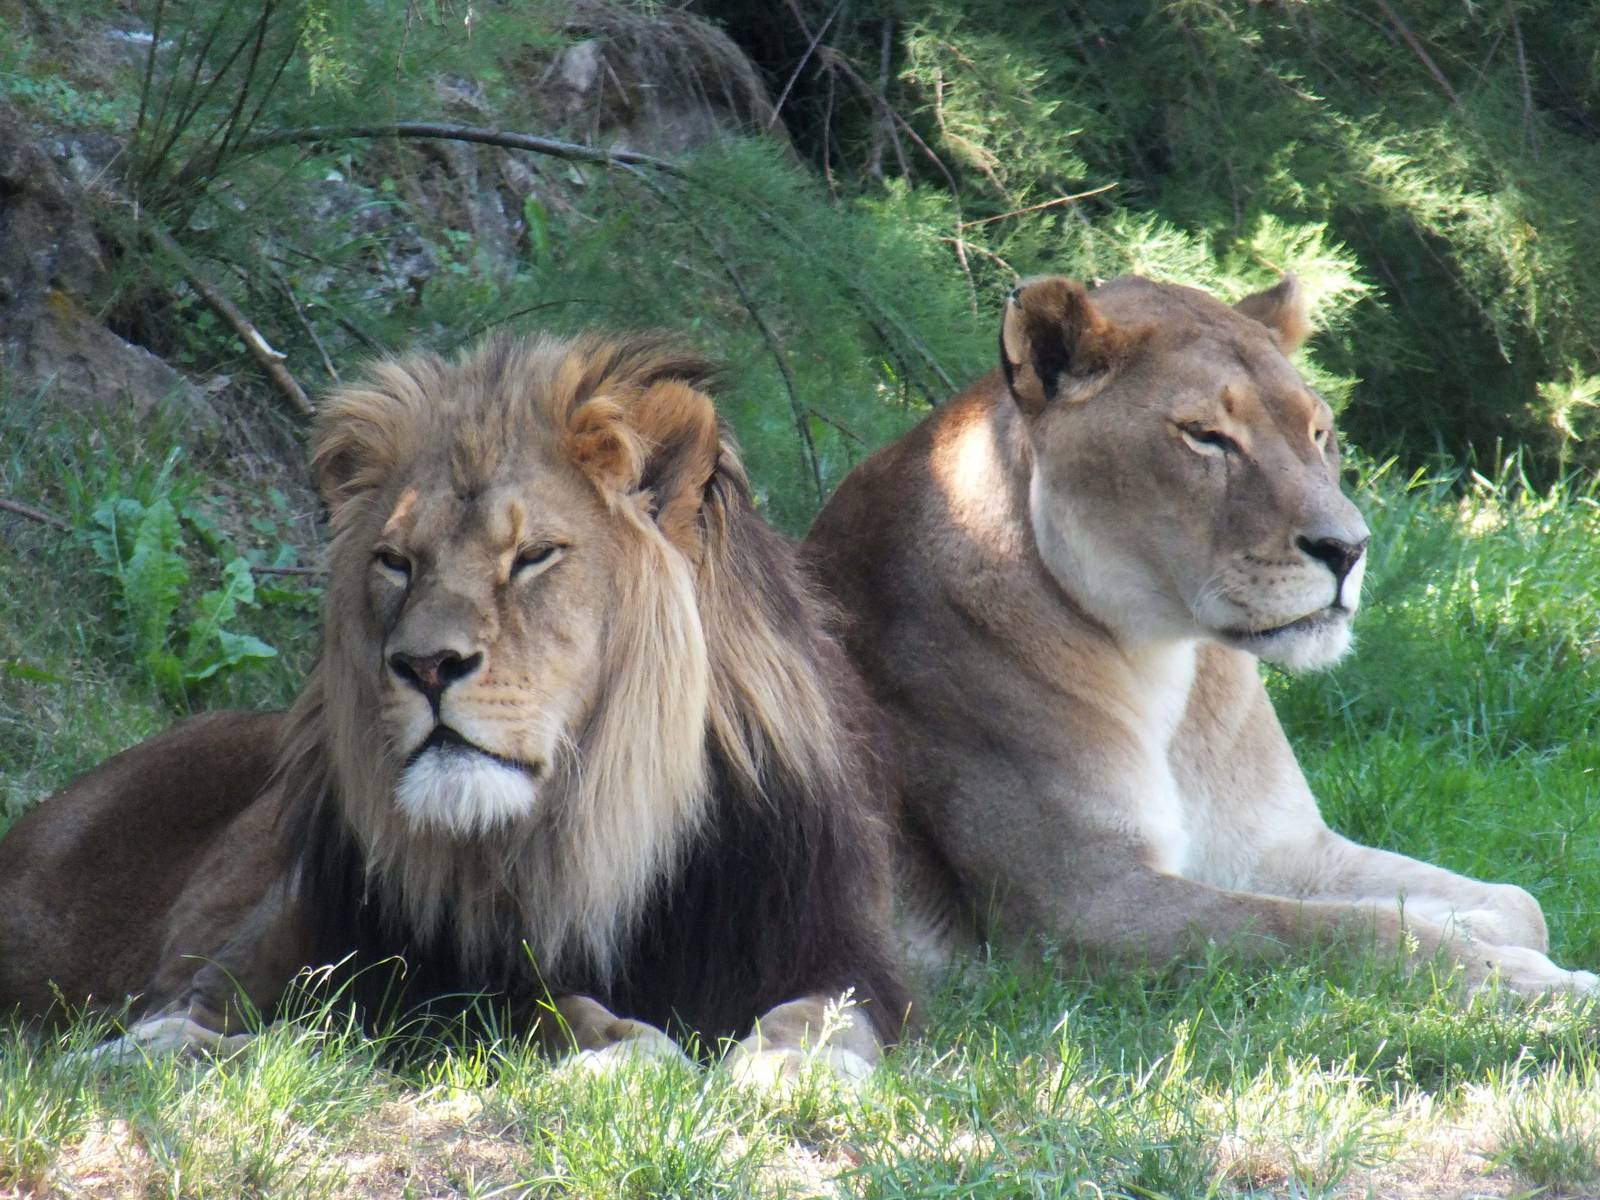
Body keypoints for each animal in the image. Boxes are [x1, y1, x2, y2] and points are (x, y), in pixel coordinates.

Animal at [0, 333, 907, 1083]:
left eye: (534, 556)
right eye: (397, 562)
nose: (426, 665)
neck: (600, 833)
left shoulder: (834, 951)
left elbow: (828, 1016)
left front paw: (793, 1066)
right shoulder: (430, 993)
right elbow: (553, 1009)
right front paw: (625, 1050)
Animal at [803, 274, 1598, 997]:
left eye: (1319, 432)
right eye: (1207, 437)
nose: (1349, 549)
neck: (1164, 665)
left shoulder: (1279, 849)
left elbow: (1517, 903)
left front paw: (1478, 929)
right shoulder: (1079, 908)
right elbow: (1339, 930)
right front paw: (1537, 985)